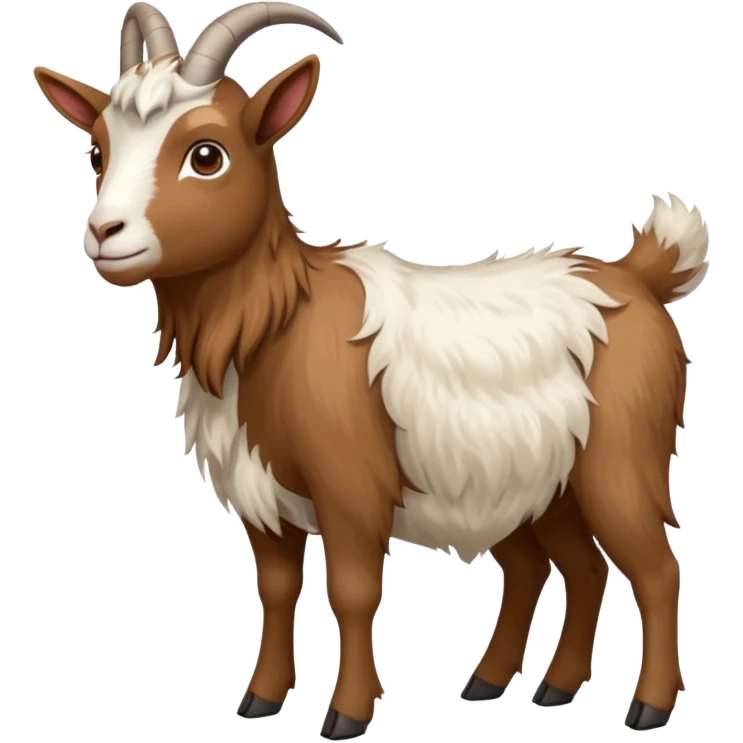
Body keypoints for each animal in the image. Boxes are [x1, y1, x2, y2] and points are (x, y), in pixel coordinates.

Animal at [33, 1, 708, 738]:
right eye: (99, 151)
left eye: (206, 154)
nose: (104, 234)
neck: (276, 320)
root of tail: (636, 276)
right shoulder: (263, 493)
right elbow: (276, 589)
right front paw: (261, 698)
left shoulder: (350, 483)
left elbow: (352, 590)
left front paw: (346, 713)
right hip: (538, 483)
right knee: (569, 567)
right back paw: (526, 685)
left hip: (619, 460)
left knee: (654, 570)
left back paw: (647, 704)